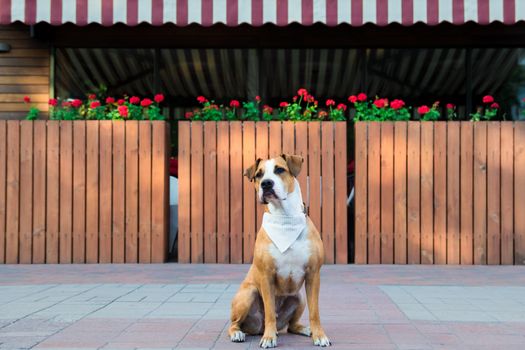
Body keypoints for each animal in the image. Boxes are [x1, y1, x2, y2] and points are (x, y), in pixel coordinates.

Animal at [227, 155, 330, 348]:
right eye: (259, 175)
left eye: (280, 170)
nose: (266, 183)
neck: (285, 218)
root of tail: (257, 328)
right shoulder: (267, 277)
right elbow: (269, 312)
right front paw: (269, 338)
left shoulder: (313, 275)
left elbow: (315, 312)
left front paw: (319, 335)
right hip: (247, 294)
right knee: (235, 323)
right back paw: (238, 333)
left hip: (298, 297)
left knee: (291, 326)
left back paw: (306, 329)